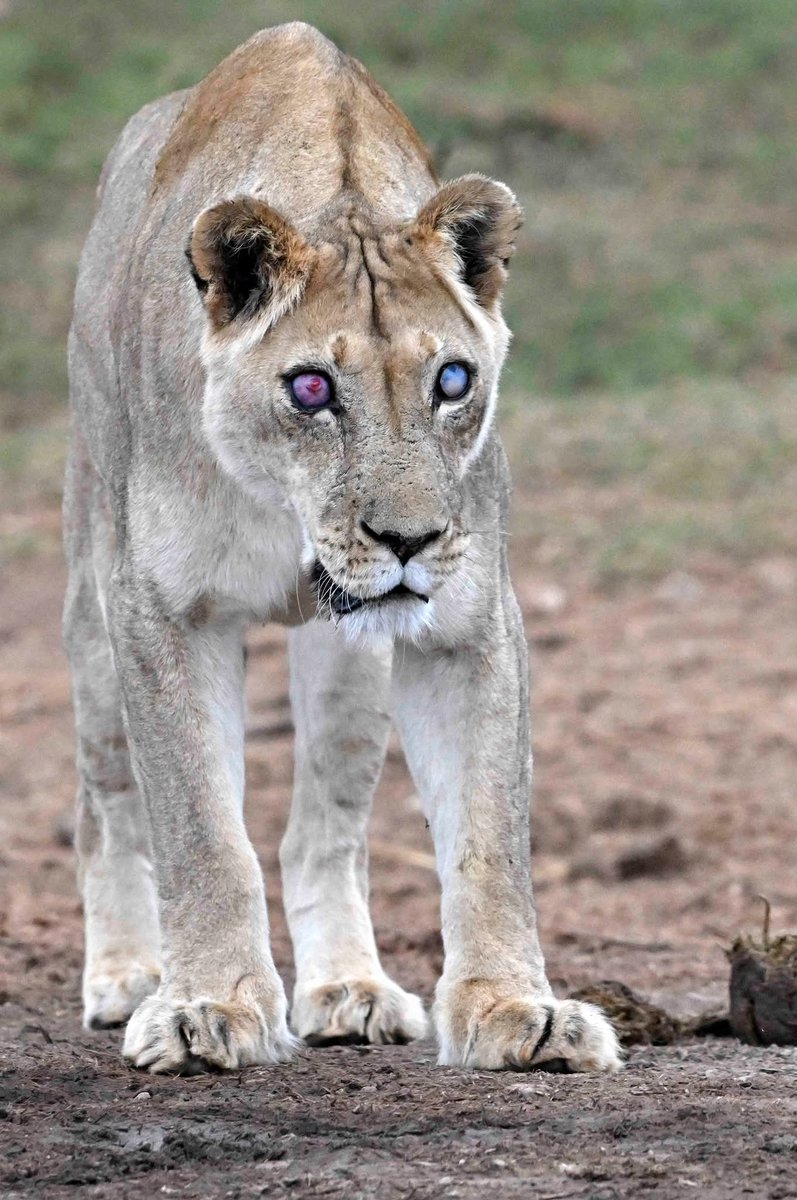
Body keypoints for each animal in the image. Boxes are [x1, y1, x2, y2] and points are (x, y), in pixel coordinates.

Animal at [64, 22, 621, 1076]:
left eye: (452, 380)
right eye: (312, 388)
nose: (408, 539)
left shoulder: (470, 622)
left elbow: (489, 837)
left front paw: (516, 1010)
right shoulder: (158, 607)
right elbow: (200, 829)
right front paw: (205, 1008)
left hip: (348, 666)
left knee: (321, 834)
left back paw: (347, 991)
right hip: (91, 605)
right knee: (108, 800)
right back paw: (125, 977)